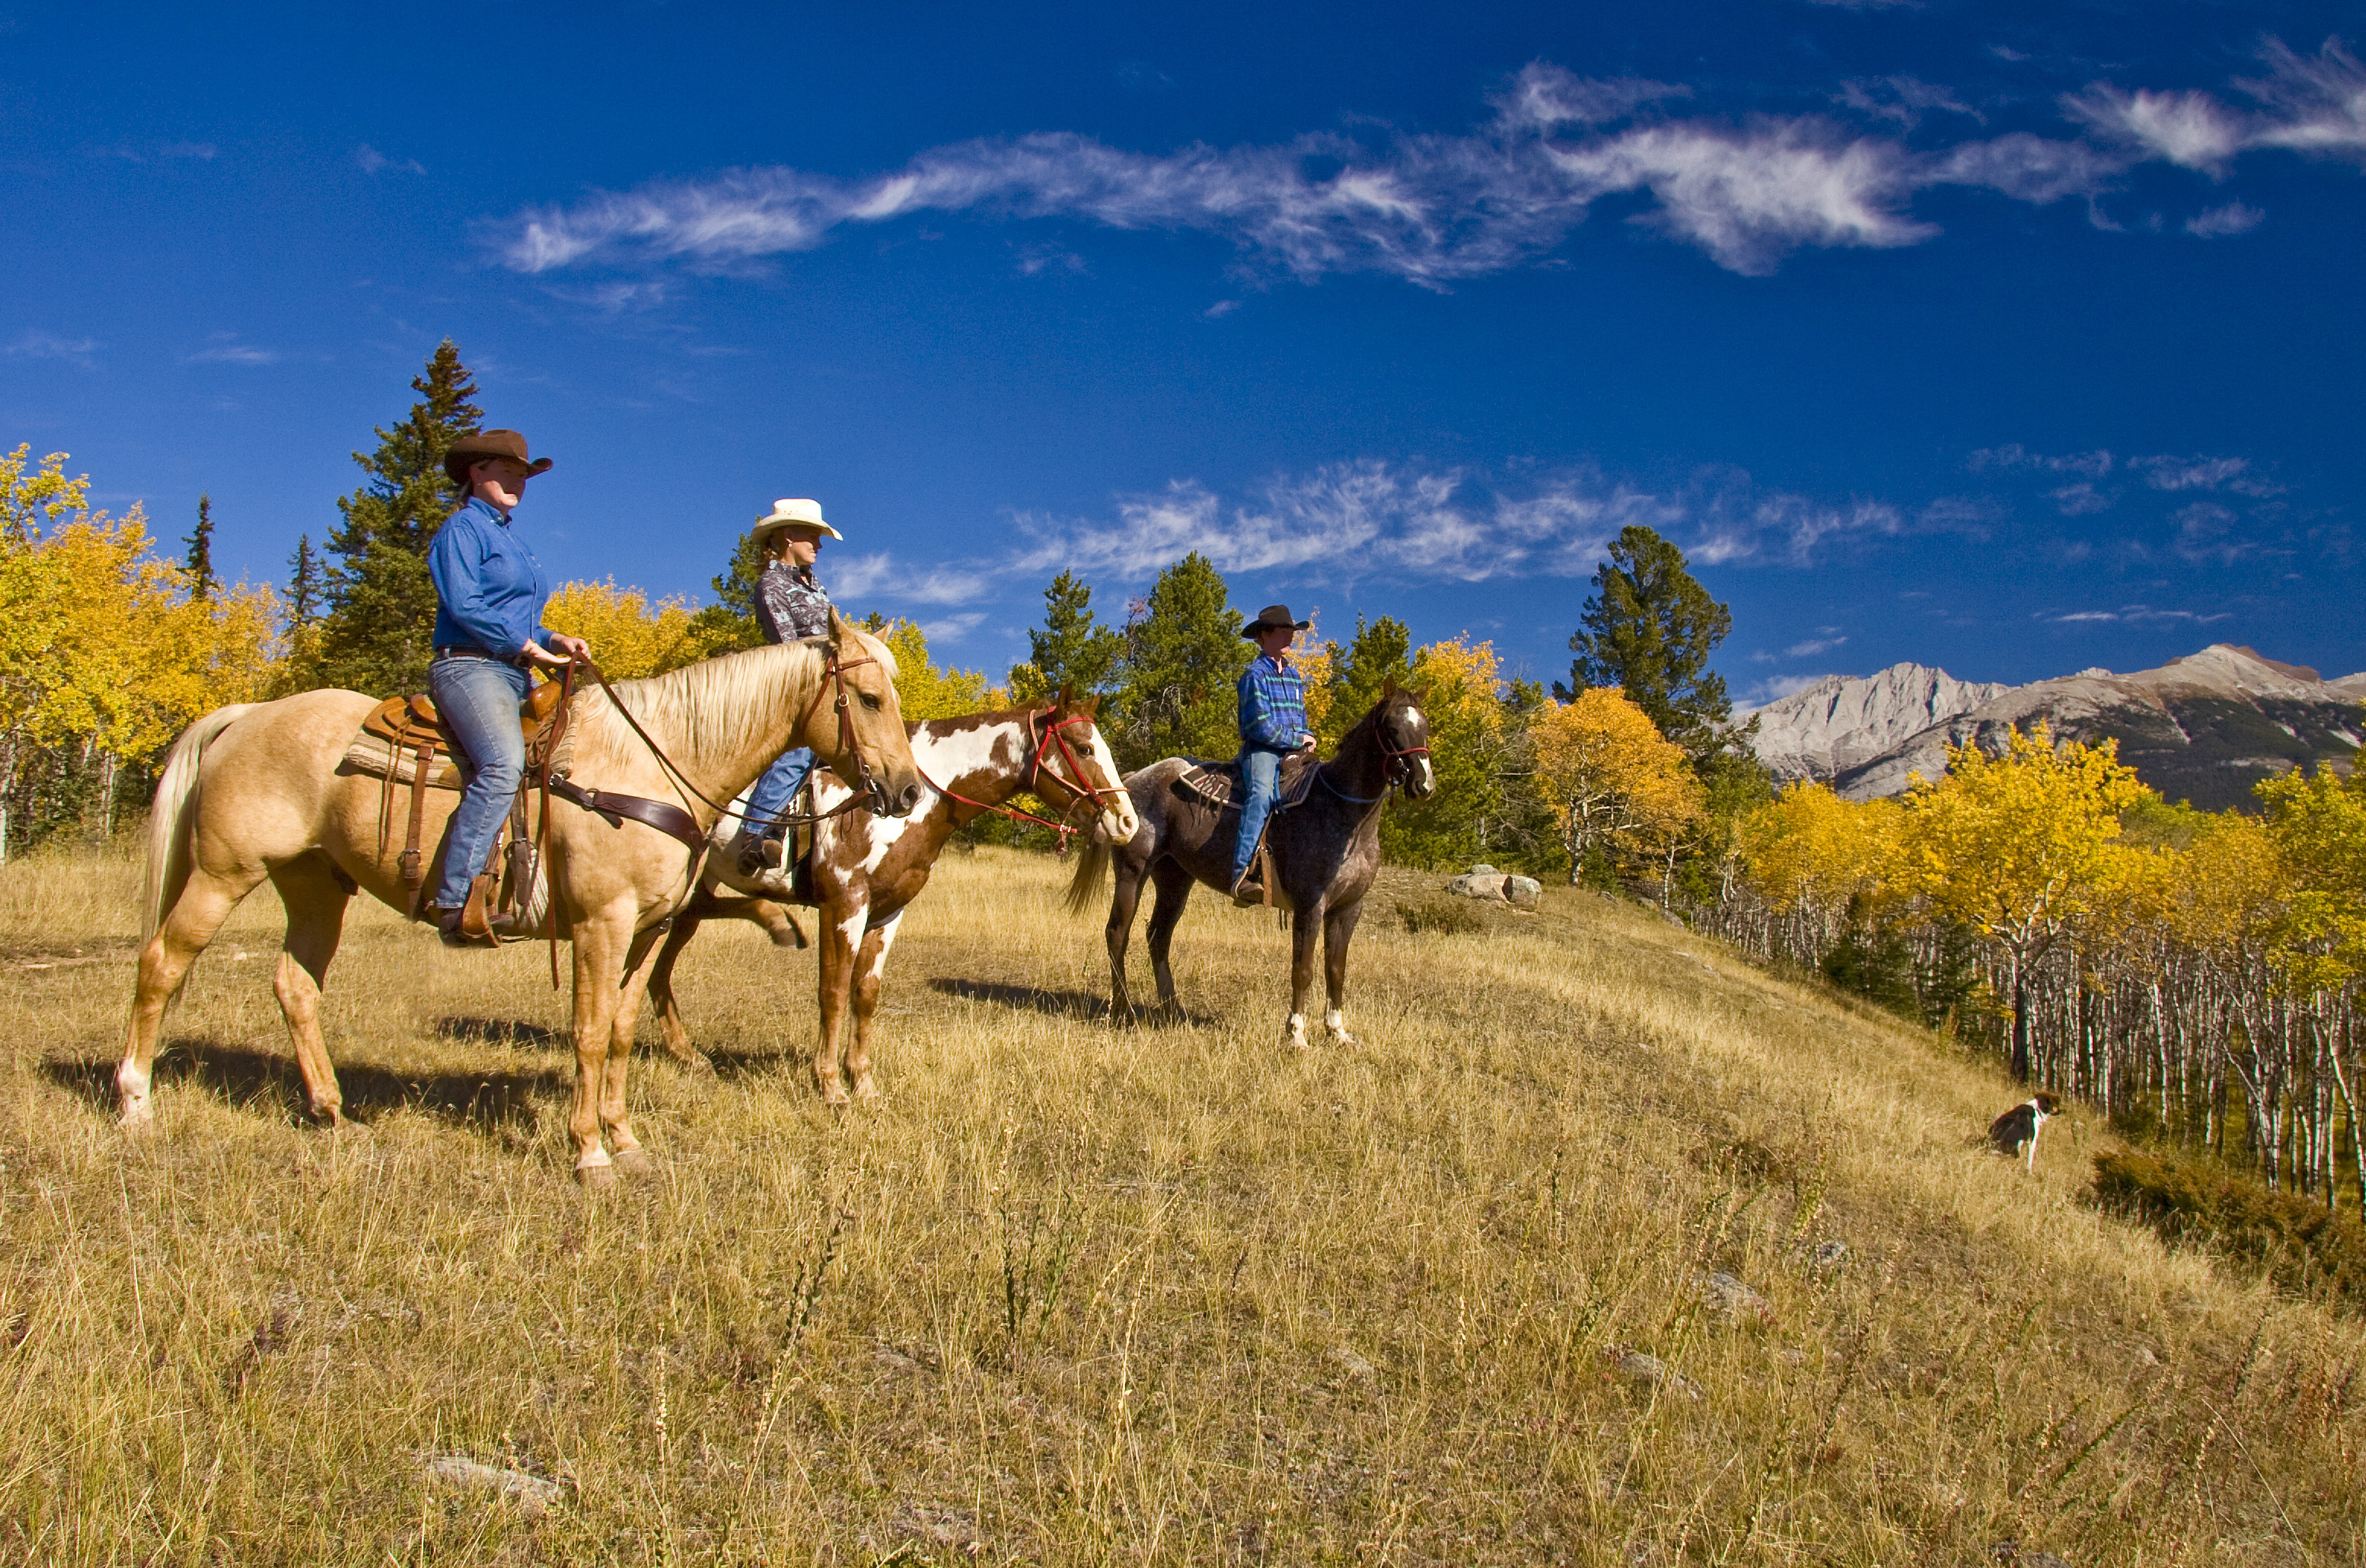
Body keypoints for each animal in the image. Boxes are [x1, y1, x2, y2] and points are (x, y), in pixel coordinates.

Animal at [117, 613, 922, 1186]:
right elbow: (589, 1033)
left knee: (295, 985)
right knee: (160, 965)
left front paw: (626, 1140)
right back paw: (135, 1105)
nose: (908, 791)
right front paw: (590, 1153)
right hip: (223, 872)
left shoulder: (646, 929)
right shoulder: (601, 923)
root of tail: (249, 712)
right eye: (869, 699)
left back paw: (332, 1111)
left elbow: (622, 1031)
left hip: (315, 883)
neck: (653, 762)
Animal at [640, 694, 1139, 1101]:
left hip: (696, 884)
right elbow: (833, 991)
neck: (909, 800)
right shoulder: (844, 904)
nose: (1128, 821)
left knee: (666, 958)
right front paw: (829, 1084)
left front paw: (861, 1081)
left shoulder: (888, 912)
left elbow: (865, 993)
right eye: (1084, 748)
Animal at [1065, 684, 1435, 1046]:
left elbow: (1336, 970)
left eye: (1425, 727)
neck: (1342, 812)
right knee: (1118, 933)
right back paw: (1123, 1011)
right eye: (1392, 728)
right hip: (1133, 871)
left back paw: (1173, 1009)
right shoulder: (1310, 907)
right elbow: (1303, 970)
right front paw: (1296, 1035)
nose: (1424, 785)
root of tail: (1133, 779)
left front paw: (1338, 1031)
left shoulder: (1348, 909)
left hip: (1175, 879)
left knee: (1158, 936)